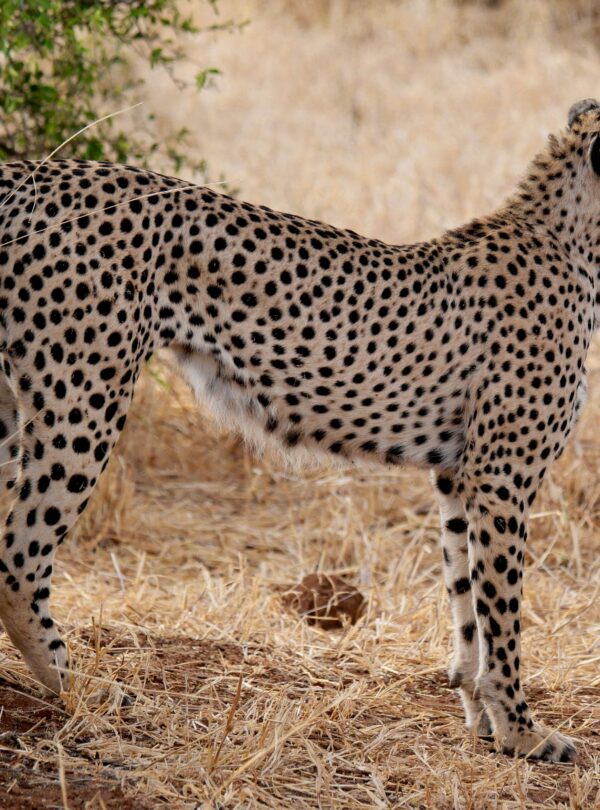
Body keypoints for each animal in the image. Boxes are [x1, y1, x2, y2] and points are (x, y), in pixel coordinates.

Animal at [0, 98, 598, 764]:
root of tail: (36, 172)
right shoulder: (502, 477)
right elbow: (502, 611)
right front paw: (523, 731)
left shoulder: (456, 475)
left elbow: (466, 599)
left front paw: (481, 717)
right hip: (83, 399)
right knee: (19, 558)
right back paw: (85, 689)